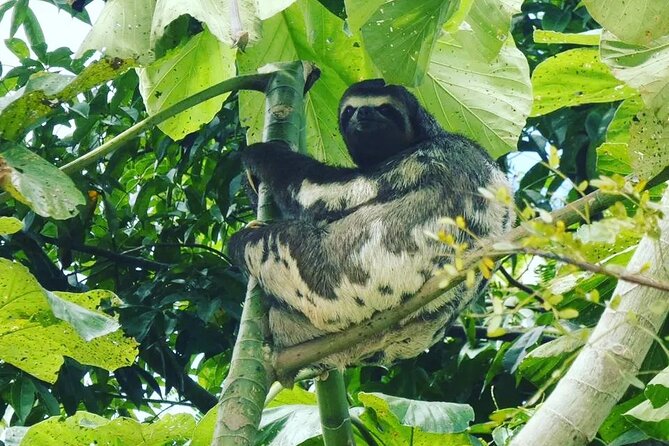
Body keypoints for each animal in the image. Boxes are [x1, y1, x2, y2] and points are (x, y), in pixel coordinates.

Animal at [228, 79, 514, 369]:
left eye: (386, 108)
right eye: (350, 110)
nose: (364, 113)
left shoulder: (426, 157)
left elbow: (328, 192)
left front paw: (260, 154)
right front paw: (250, 182)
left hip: (337, 279)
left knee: (272, 241)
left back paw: (246, 240)